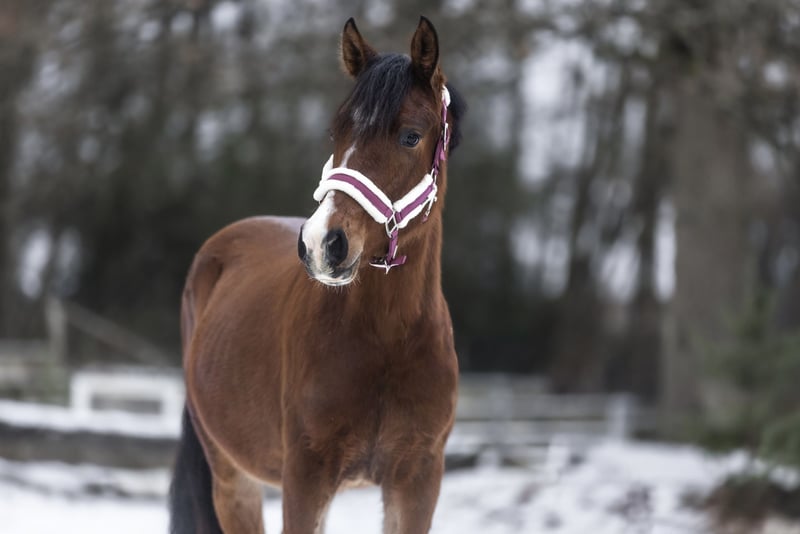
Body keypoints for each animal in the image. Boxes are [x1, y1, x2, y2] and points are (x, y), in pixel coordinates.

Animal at [169, 16, 466, 534]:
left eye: (411, 135)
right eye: (336, 132)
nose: (322, 243)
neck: (389, 339)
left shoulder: (417, 481)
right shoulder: (306, 479)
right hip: (232, 480)